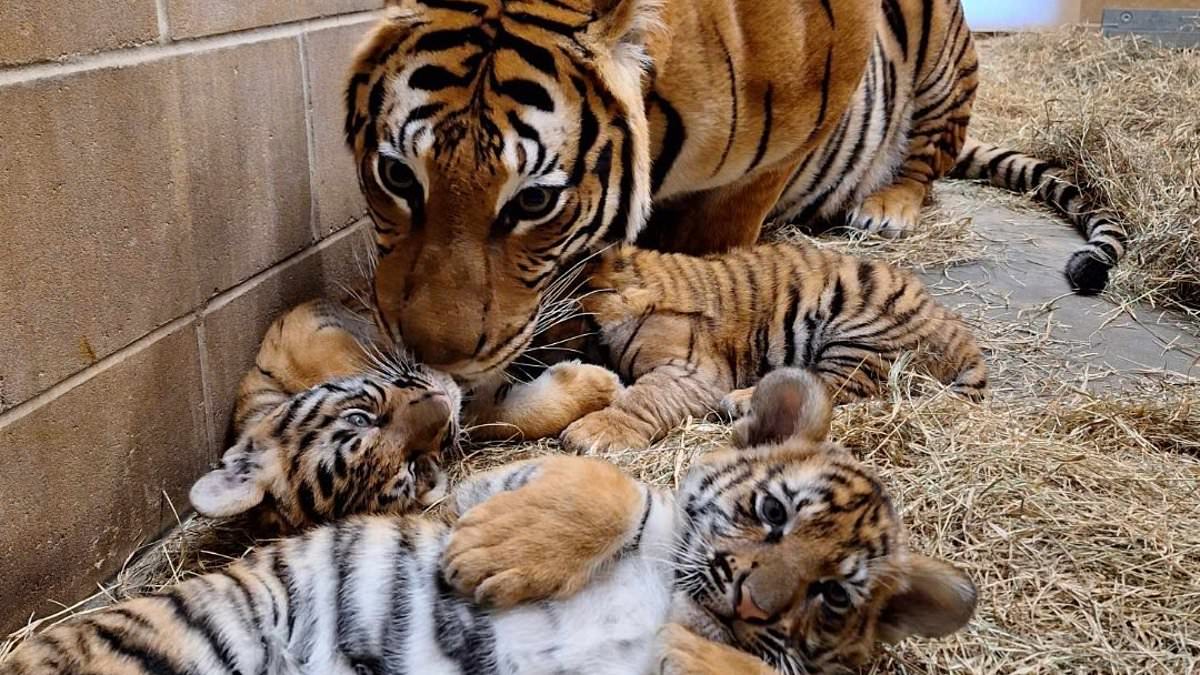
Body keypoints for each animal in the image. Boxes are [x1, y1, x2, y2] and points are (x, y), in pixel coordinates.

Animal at [348, 0, 1123, 379]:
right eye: (397, 176)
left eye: (534, 200)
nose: (432, 358)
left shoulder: (778, 153)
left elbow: (716, 268)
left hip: (939, 59)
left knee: (930, 152)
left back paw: (888, 206)